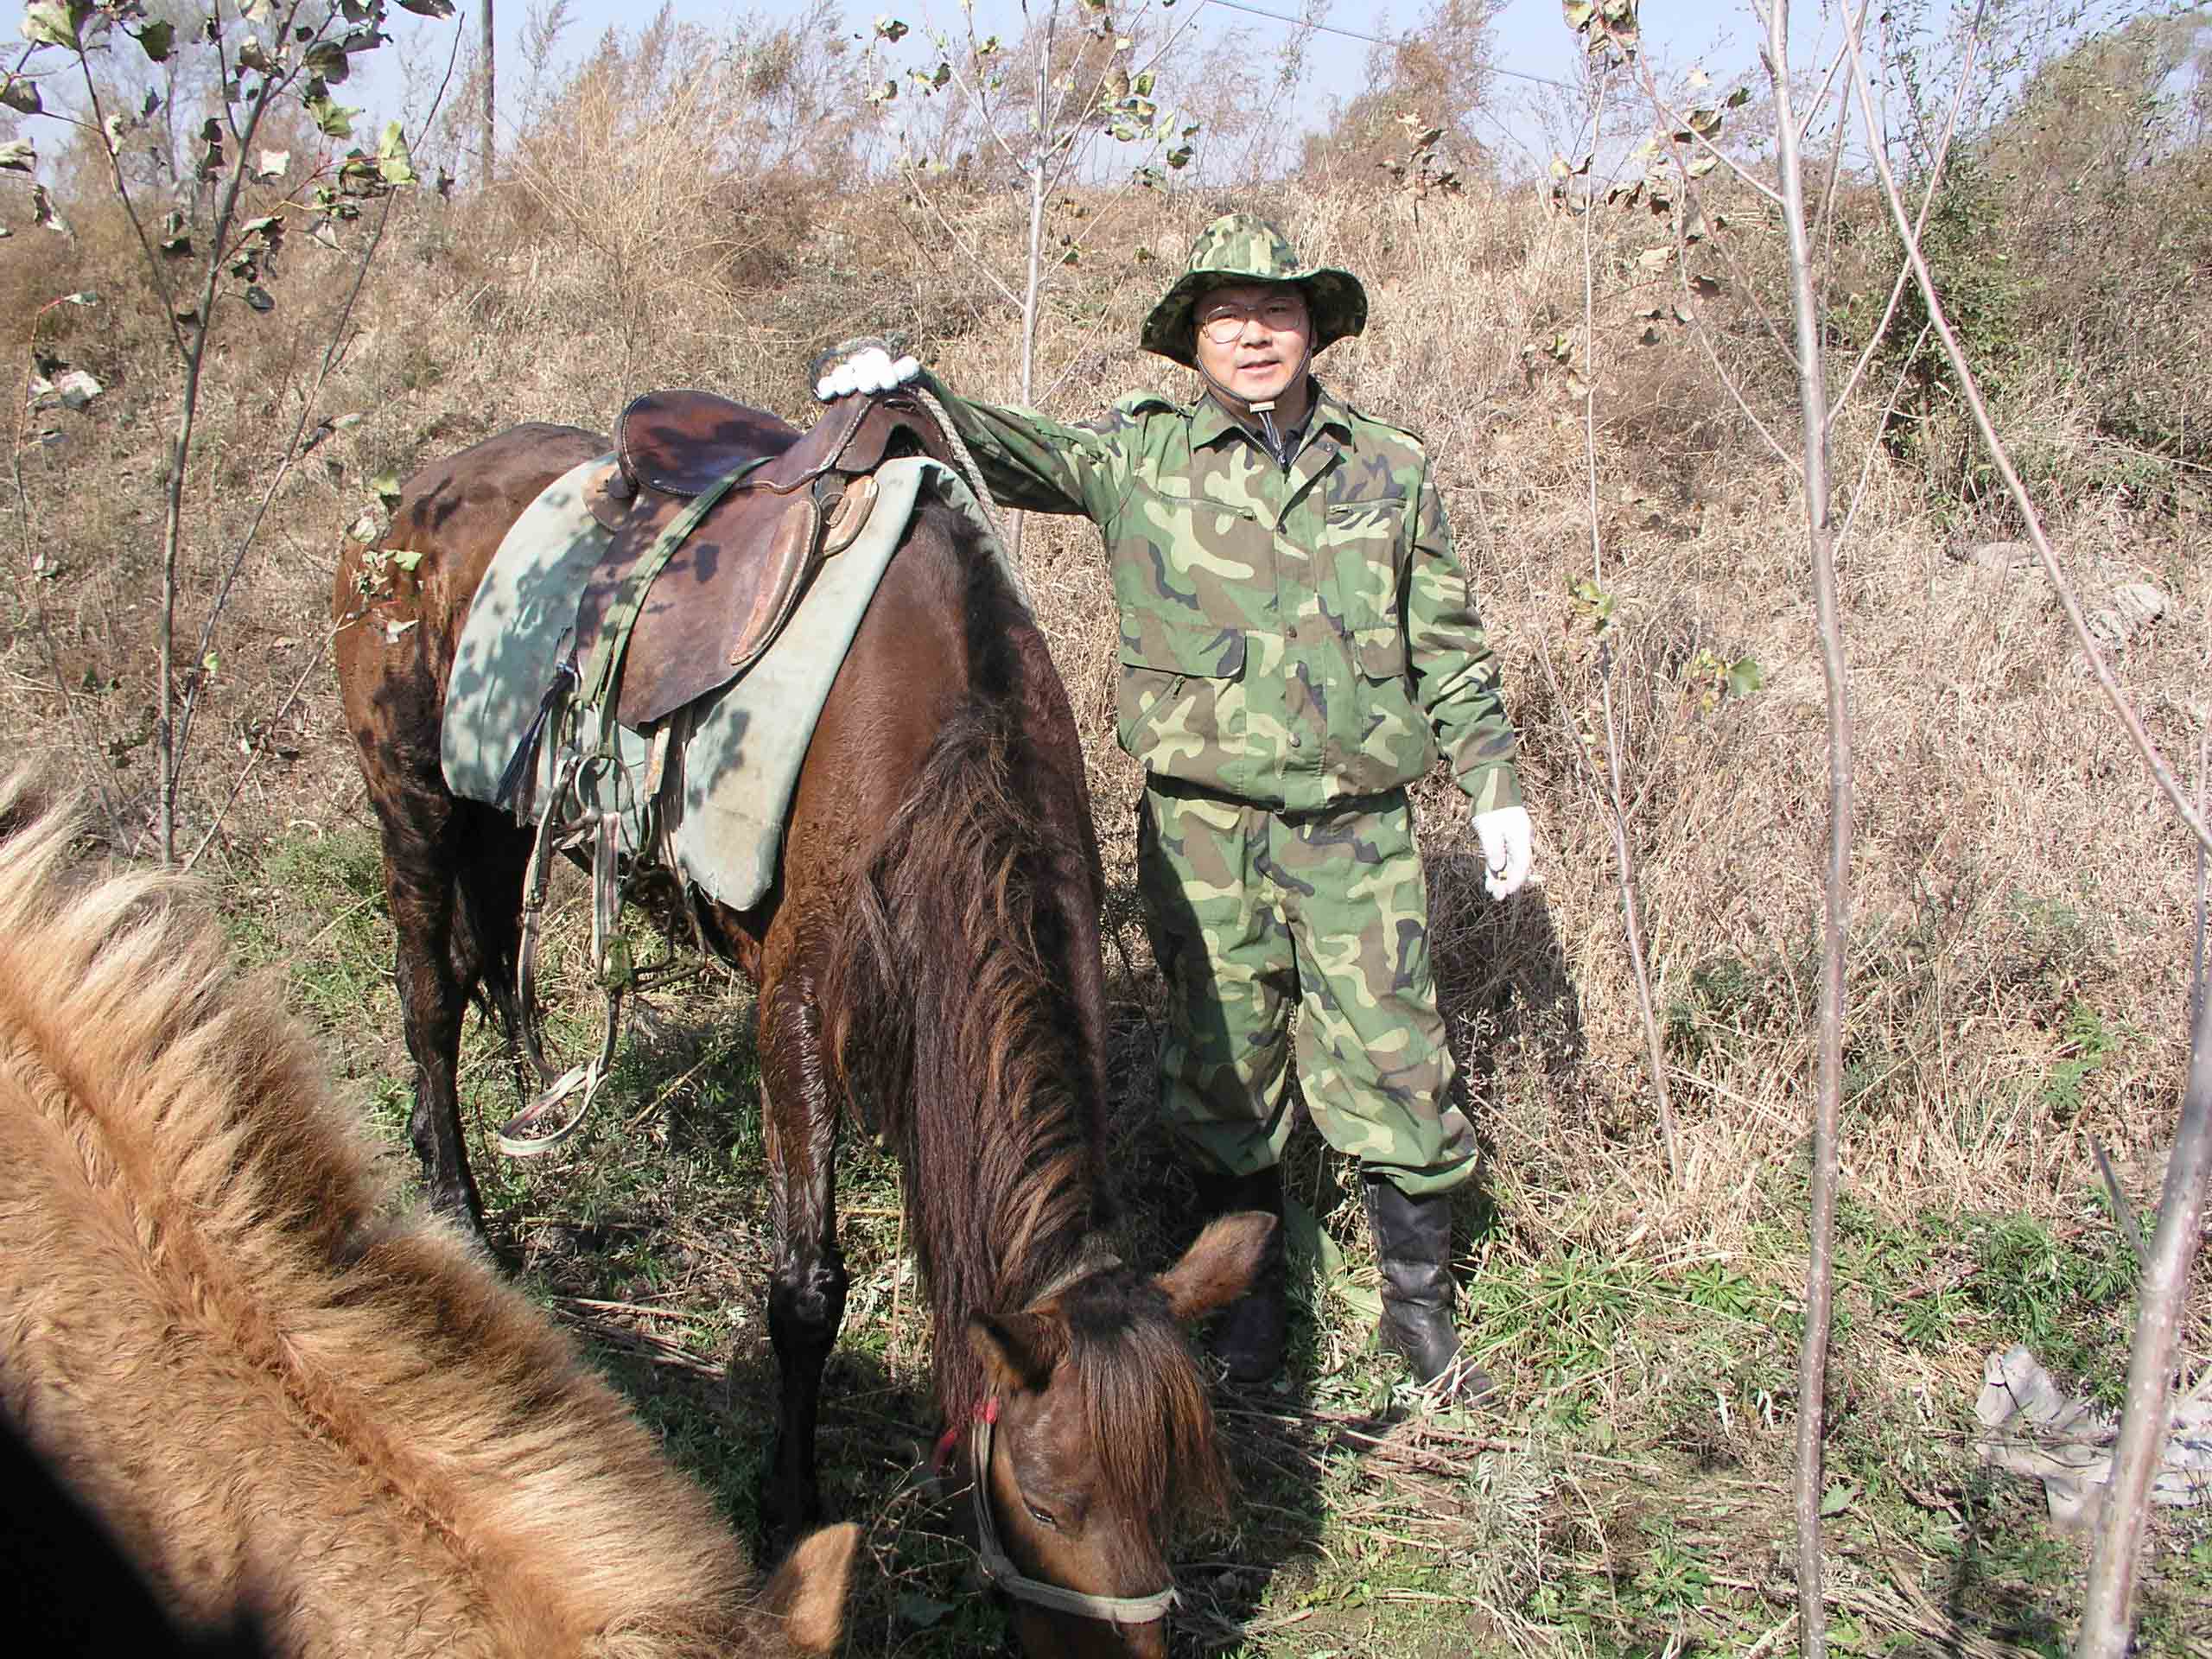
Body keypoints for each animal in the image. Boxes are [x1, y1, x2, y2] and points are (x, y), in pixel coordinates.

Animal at [321, 417, 1274, 1659]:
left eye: (1173, 1501)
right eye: (1050, 1500)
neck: (943, 739)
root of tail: (415, 494)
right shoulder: (797, 1011)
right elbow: (806, 1295)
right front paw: (792, 1502)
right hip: (414, 806)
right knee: (429, 1006)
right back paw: (458, 1213)